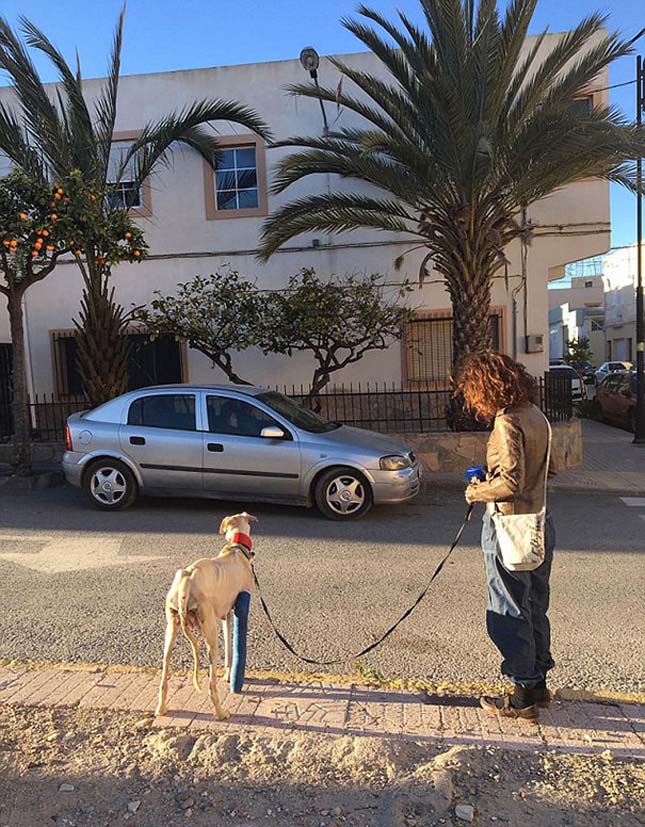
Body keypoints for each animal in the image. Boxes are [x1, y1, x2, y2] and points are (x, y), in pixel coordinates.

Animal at [154, 512, 256, 720]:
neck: (235, 549)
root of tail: (186, 581)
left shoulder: (226, 615)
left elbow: (229, 646)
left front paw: (228, 674)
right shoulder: (235, 610)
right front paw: (229, 676)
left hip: (171, 629)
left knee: (164, 672)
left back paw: (161, 708)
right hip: (209, 632)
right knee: (211, 686)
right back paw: (221, 712)